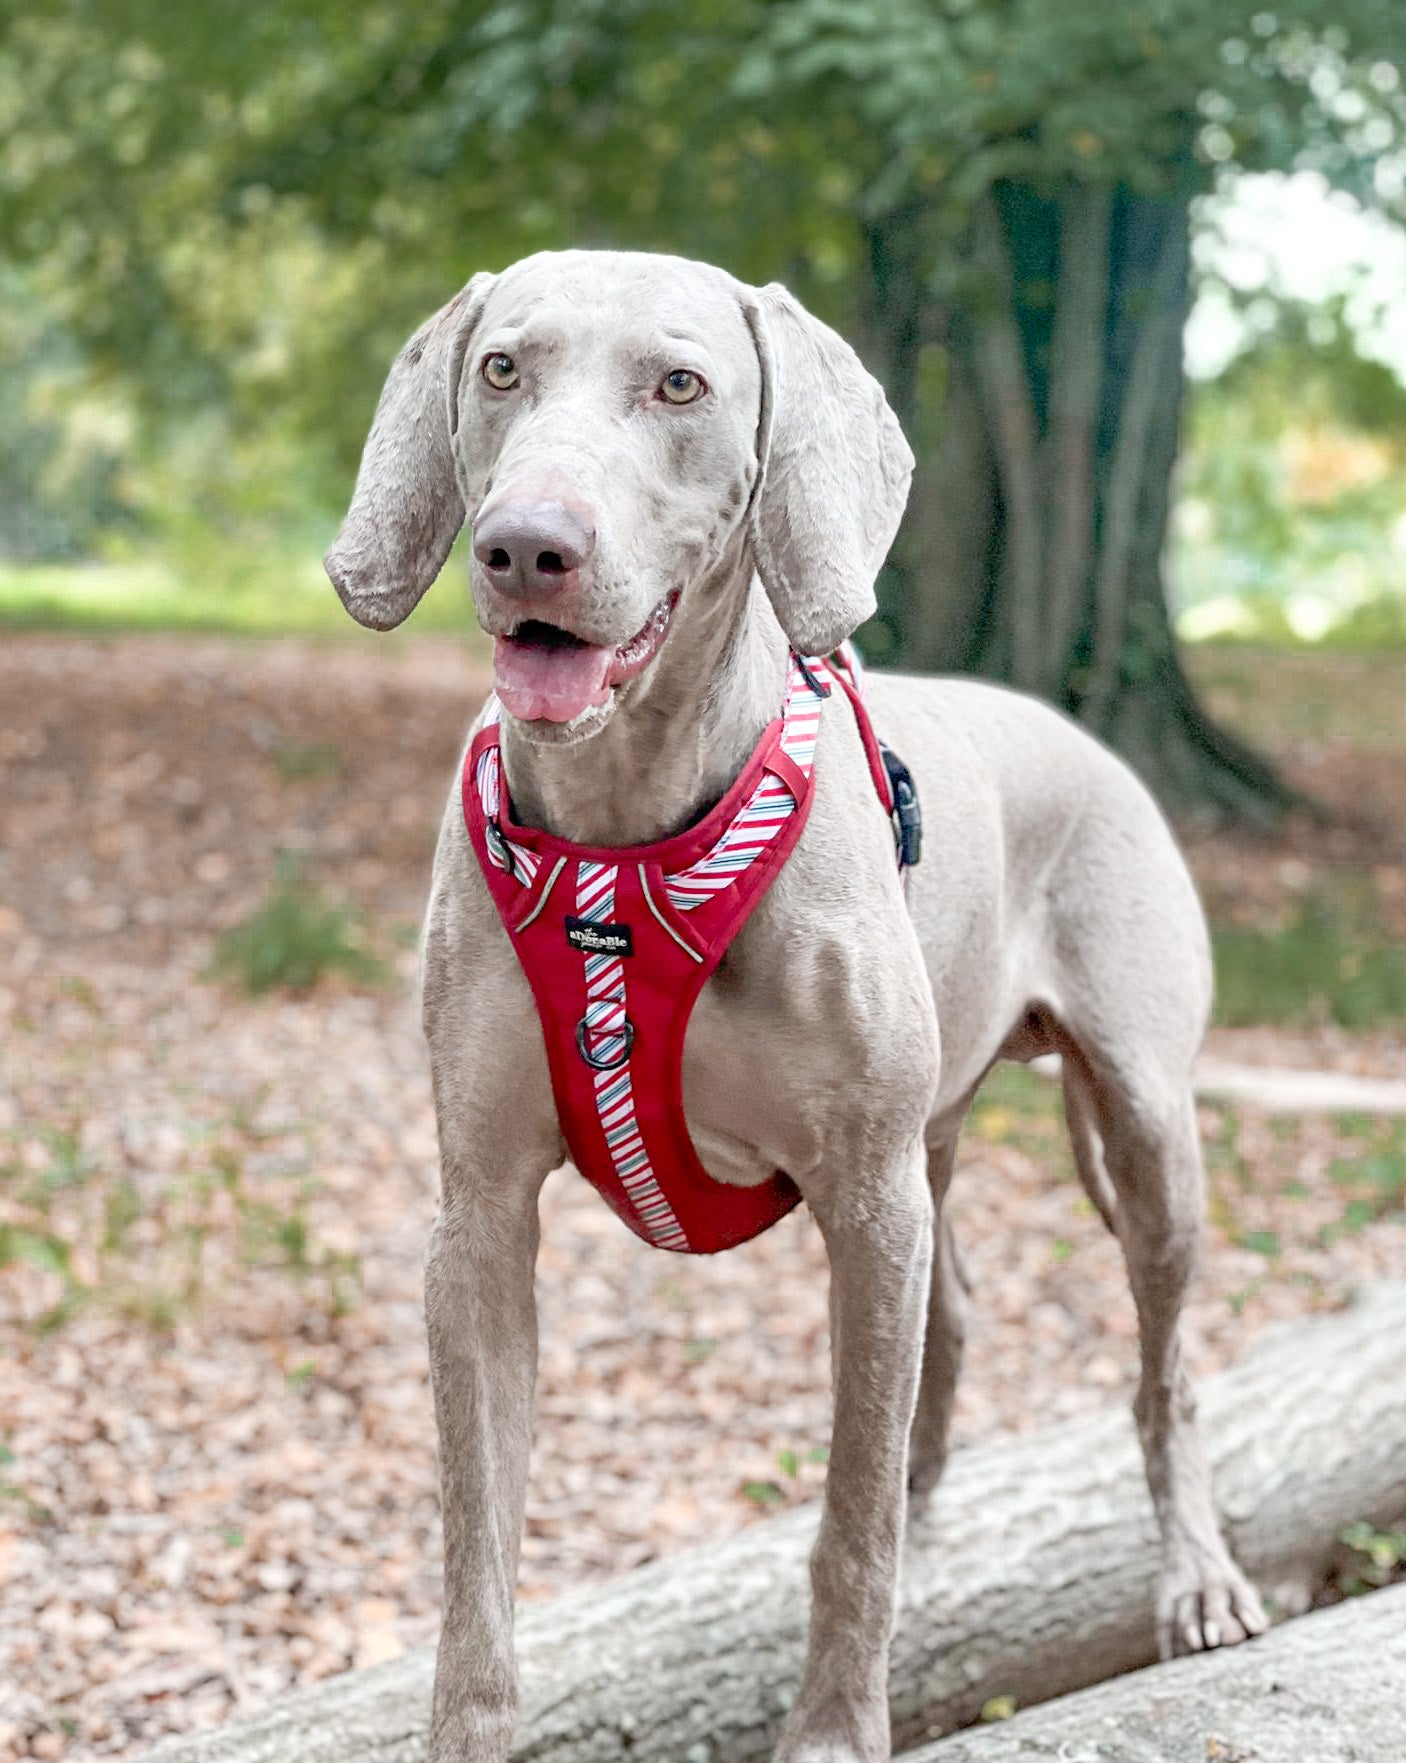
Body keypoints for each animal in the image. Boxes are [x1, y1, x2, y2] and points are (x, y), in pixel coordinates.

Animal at [327, 252, 1268, 1763]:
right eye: (501, 368)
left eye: (679, 383)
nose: (528, 546)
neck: (622, 838)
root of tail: (1083, 737)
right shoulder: (477, 1216)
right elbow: (479, 1543)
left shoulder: (864, 1193)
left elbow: (845, 1522)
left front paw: (832, 1726)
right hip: (937, 1142)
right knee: (955, 1324)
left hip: (1138, 1119)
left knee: (1159, 1368)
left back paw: (1195, 1575)